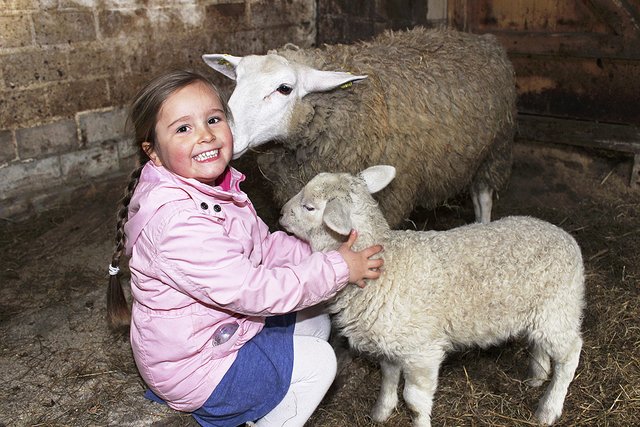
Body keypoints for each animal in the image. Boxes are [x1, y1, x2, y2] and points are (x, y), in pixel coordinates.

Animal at [203, 26, 517, 227]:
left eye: (284, 88)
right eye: (237, 81)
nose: (227, 135)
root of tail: (480, 38)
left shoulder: (391, 197)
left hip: (495, 151)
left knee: (484, 197)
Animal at [278, 165, 585, 426]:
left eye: (309, 207)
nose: (280, 214)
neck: (388, 265)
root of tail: (567, 237)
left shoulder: (421, 351)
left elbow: (414, 400)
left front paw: (417, 420)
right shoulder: (393, 343)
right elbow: (388, 378)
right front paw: (381, 412)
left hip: (559, 309)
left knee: (571, 354)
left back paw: (548, 408)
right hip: (542, 310)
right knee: (540, 343)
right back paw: (537, 377)